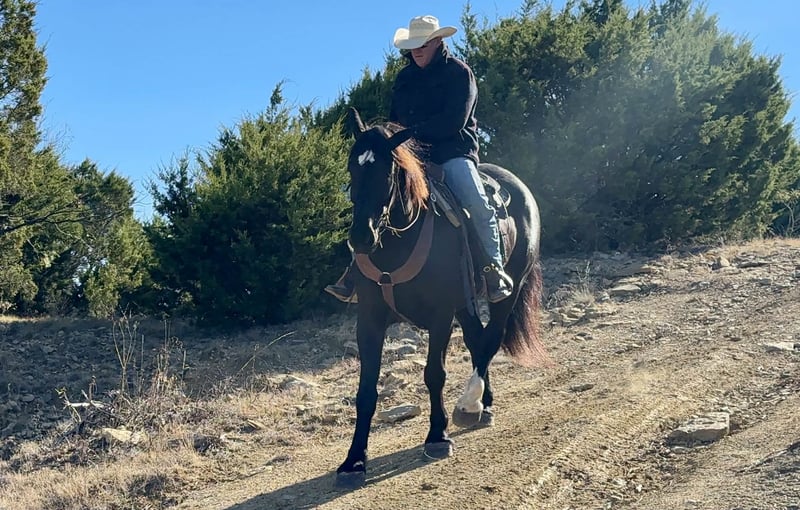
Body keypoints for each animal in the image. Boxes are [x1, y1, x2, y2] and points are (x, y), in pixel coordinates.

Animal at [336, 108, 549, 488]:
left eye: (387, 172)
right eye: (352, 169)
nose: (361, 237)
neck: (397, 245)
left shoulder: (440, 314)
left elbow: (434, 374)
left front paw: (437, 437)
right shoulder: (370, 320)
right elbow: (366, 390)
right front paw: (354, 461)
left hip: (506, 290)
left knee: (491, 338)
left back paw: (469, 406)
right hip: (465, 304)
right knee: (477, 339)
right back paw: (485, 404)